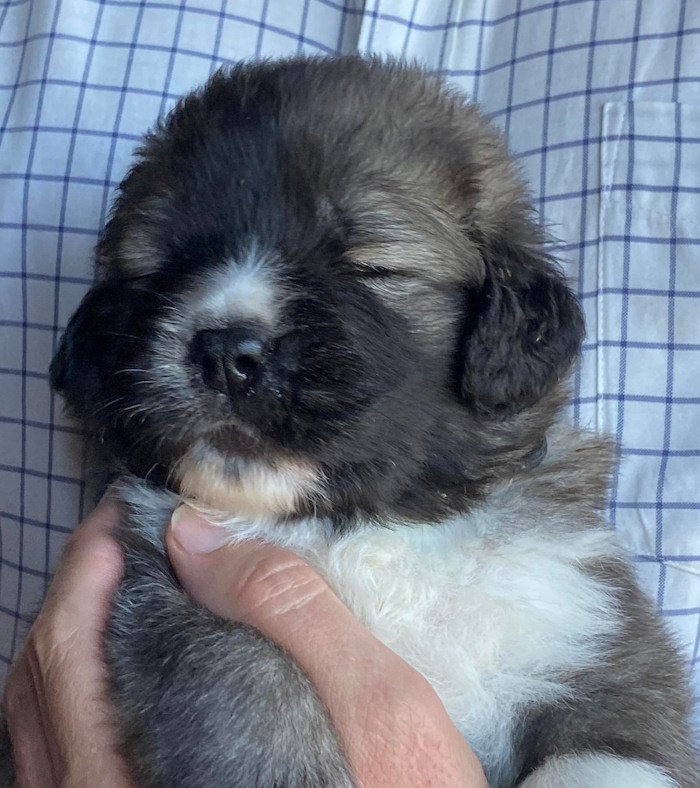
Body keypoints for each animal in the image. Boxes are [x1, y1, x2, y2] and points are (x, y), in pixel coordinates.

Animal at [7, 56, 699, 787]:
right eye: (160, 268)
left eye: (371, 265)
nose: (225, 353)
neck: (370, 526)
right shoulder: (169, 596)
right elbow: (248, 684)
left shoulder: (591, 632)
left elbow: (604, 751)